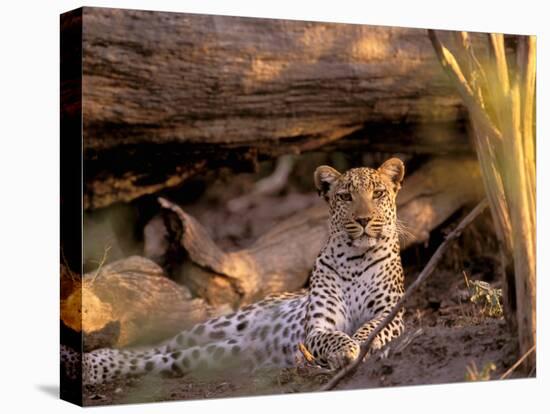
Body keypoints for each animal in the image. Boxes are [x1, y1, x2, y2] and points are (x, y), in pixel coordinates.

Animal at [76, 158, 406, 384]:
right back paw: (92, 362)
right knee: (158, 347)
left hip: (215, 353)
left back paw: (97, 366)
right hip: (215, 327)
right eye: (345, 197)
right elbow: (332, 336)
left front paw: (359, 346)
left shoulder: (392, 314)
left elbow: (371, 328)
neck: (355, 258)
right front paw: (348, 348)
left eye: (378, 194)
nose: (363, 219)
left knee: (159, 360)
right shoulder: (318, 326)